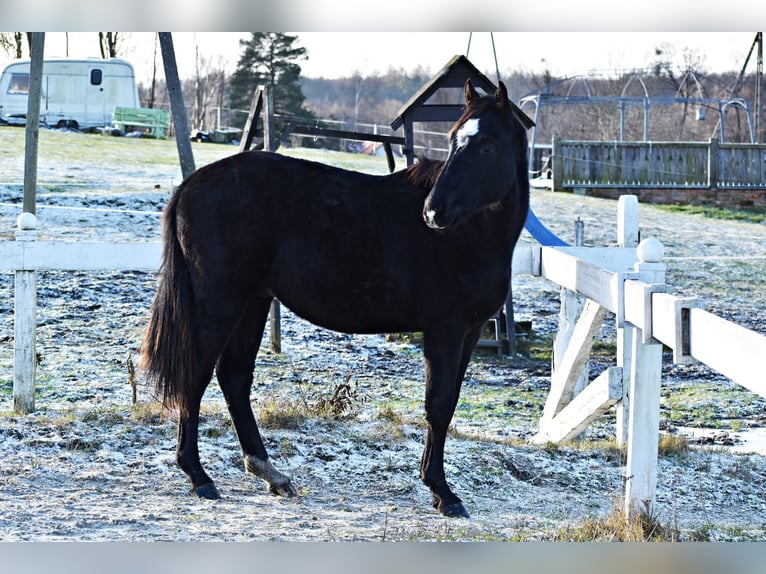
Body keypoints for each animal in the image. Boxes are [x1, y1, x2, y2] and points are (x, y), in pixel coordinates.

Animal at [141, 80, 532, 516]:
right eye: (452, 142)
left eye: (487, 146)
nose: (433, 212)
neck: (471, 234)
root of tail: (190, 185)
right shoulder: (444, 332)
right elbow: (438, 405)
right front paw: (443, 492)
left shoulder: (469, 332)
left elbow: (447, 406)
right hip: (221, 304)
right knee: (198, 374)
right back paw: (198, 475)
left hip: (253, 303)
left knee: (234, 377)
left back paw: (269, 473)